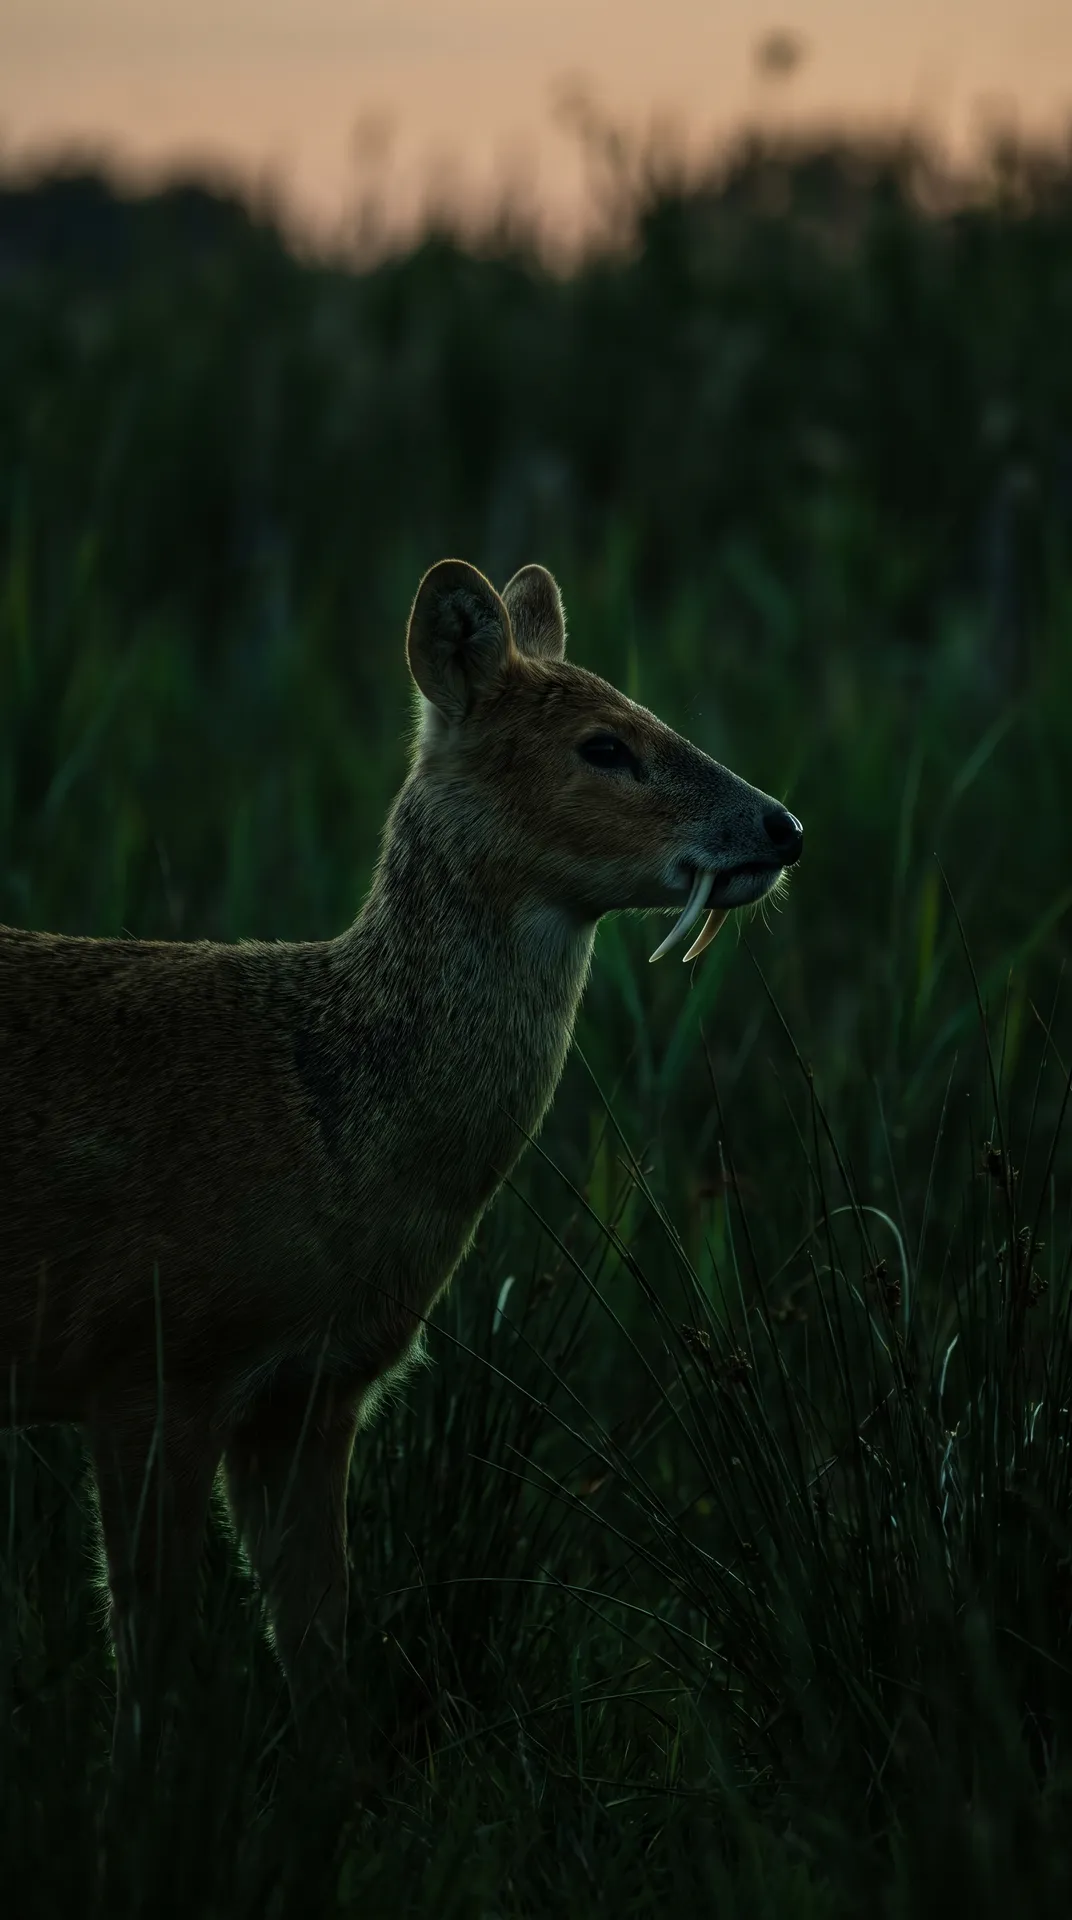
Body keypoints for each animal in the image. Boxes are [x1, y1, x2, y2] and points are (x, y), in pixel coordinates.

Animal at [0, 558, 802, 1789]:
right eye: (603, 744)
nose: (782, 825)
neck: (323, 1118)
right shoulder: (146, 1357)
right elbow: (152, 1641)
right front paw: (141, 1806)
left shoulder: (312, 1393)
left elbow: (319, 1637)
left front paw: (333, 1803)